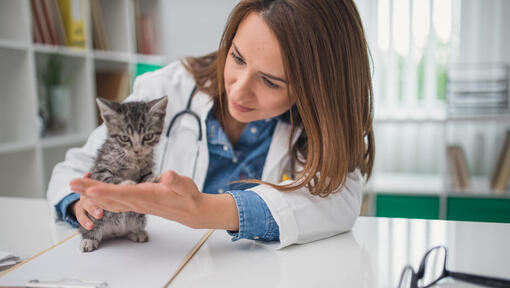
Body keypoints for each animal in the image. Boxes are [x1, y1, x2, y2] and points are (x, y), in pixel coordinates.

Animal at [78, 96, 168, 252]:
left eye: (148, 136)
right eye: (125, 138)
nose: (138, 150)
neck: (133, 160)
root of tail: (114, 233)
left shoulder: (147, 166)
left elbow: (145, 176)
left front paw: (152, 179)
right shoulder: (100, 170)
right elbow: (109, 177)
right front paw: (126, 183)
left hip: (137, 218)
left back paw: (136, 232)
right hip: (94, 218)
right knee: (91, 227)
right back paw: (89, 239)